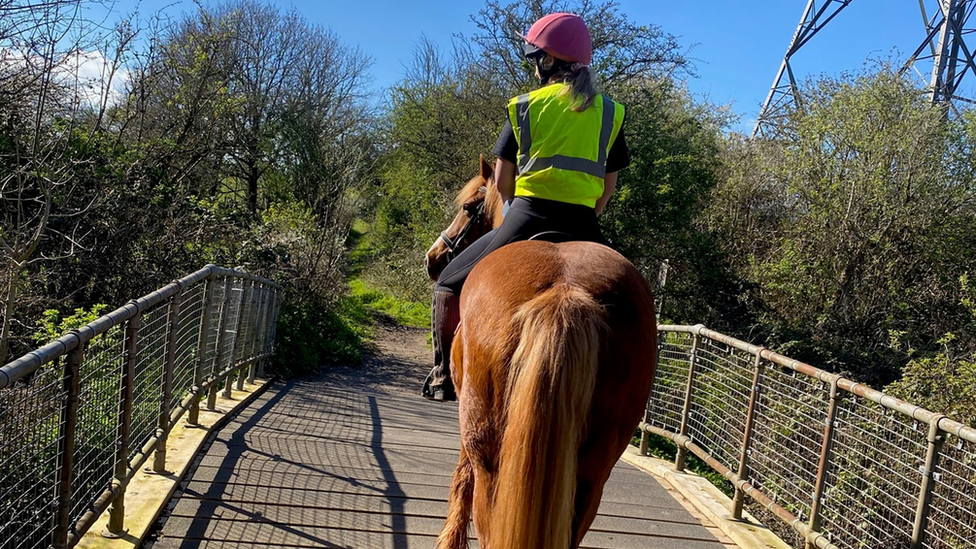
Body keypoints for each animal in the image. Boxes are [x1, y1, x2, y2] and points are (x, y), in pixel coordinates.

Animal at [426, 156, 656, 544]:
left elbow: (461, 481)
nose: (434, 258)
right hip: (593, 468)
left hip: (488, 448)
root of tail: (565, 290)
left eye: (469, 207)